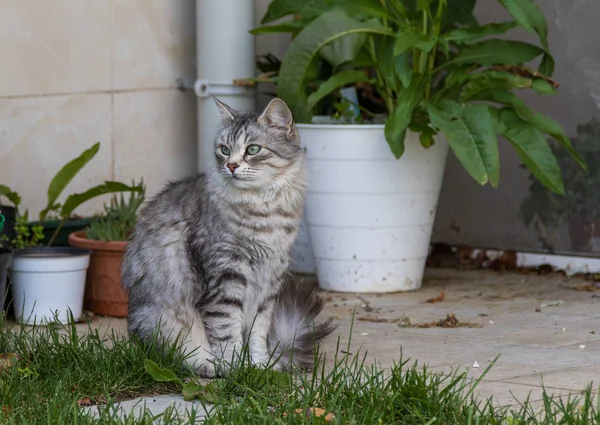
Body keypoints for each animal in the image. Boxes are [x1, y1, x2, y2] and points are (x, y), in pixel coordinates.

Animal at [120, 97, 338, 376]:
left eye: (253, 149)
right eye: (224, 150)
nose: (231, 165)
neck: (266, 211)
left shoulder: (269, 282)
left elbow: (258, 332)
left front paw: (260, 366)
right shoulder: (226, 276)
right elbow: (226, 331)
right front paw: (237, 370)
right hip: (161, 322)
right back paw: (208, 367)